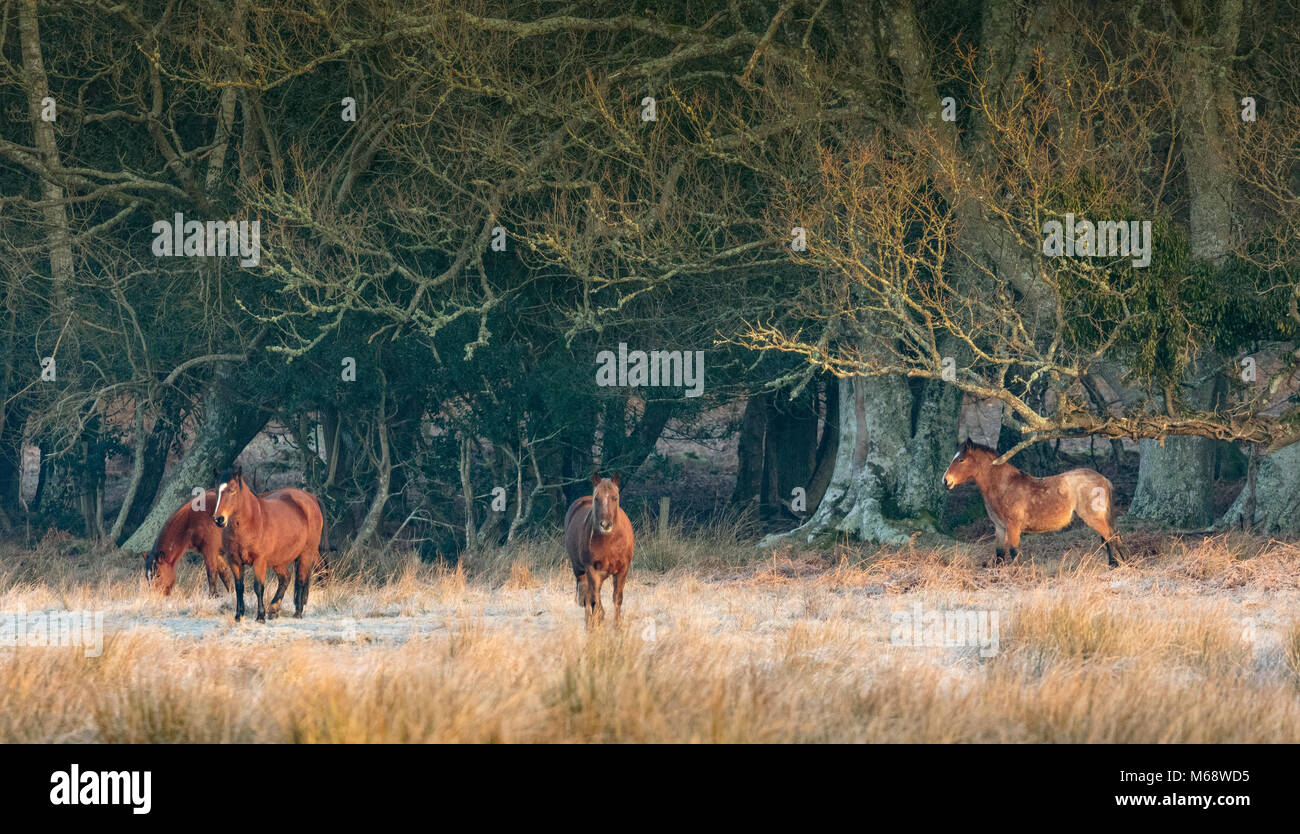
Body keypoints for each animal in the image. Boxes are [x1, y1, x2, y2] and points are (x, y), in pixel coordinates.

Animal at [211, 465, 323, 620]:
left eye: (232, 490)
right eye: (217, 491)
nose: (219, 519)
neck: (251, 522)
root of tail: (311, 498)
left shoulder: (260, 561)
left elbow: (259, 587)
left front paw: (260, 617)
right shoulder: (235, 561)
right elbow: (239, 587)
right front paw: (239, 615)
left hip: (306, 554)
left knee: (300, 580)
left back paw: (297, 612)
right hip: (279, 560)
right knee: (285, 578)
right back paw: (274, 608)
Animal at [564, 470, 634, 620]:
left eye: (615, 498)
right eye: (597, 498)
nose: (605, 525)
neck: (610, 541)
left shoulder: (623, 569)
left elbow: (617, 600)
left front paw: (617, 624)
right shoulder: (592, 569)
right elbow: (596, 603)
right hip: (580, 571)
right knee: (587, 598)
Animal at [946, 436, 1128, 566]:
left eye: (961, 460)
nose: (945, 481)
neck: (1005, 485)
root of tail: (1103, 479)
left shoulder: (1013, 527)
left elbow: (1014, 552)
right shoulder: (1000, 528)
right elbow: (999, 555)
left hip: (1094, 518)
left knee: (1112, 538)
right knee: (1109, 539)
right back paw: (1114, 565)